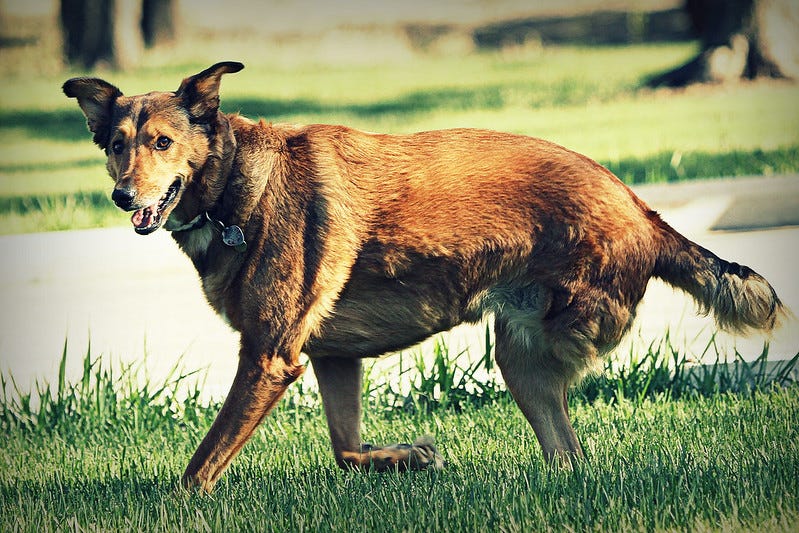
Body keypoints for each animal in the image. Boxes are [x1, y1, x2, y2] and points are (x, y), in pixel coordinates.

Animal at [62, 61, 788, 490]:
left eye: (162, 143)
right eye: (117, 145)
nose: (123, 198)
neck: (235, 179)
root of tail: (642, 209)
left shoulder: (269, 357)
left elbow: (197, 467)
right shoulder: (328, 357)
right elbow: (344, 449)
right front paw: (408, 457)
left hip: (542, 330)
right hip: (519, 361)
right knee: (568, 456)